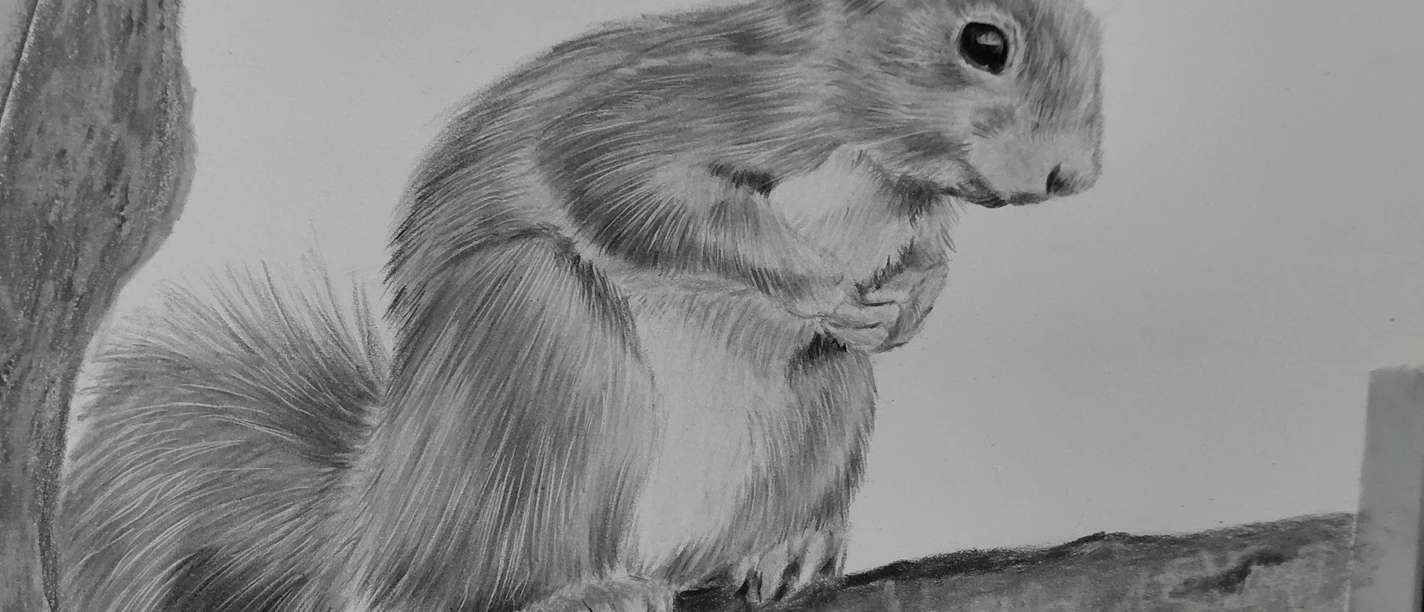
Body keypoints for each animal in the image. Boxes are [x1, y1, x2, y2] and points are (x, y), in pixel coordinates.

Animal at [57, 0, 1103, 611]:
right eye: (983, 42)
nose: (1075, 176)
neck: (873, 144)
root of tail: (368, 530)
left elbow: (927, 256)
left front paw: (907, 306)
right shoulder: (675, 109)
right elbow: (635, 193)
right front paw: (820, 282)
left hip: (825, 402)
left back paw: (785, 550)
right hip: (532, 342)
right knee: (443, 592)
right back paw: (576, 591)